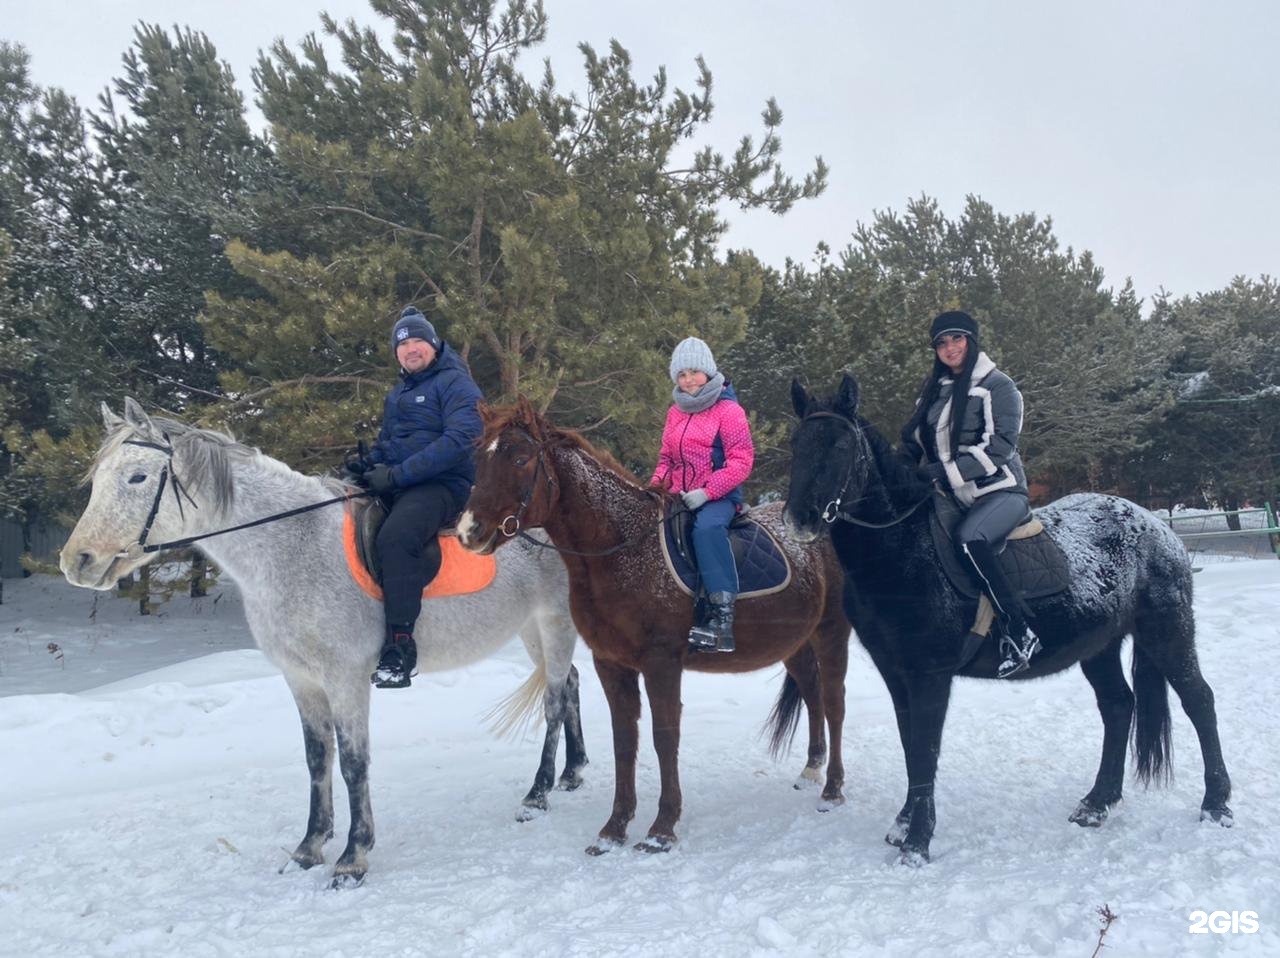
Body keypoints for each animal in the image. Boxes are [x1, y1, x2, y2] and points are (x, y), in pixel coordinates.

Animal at [56, 399, 586, 886]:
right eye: (98, 478)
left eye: (137, 478)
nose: (76, 560)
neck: (294, 546)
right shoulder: (301, 678)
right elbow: (317, 758)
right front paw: (309, 846)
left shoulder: (346, 678)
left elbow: (352, 761)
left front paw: (353, 856)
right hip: (530, 628)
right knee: (572, 685)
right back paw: (572, 772)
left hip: (555, 622)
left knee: (555, 700)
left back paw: (538, 793)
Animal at [455, 397, 855, 855]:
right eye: (479, 459)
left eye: (520, 458)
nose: (469, 531)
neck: (623, 550)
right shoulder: (611, 663)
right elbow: (624, 740)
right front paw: (614, 828)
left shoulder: (662, 662)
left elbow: (665, 737)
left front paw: (661, 828)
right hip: (795, 643)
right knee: (812, 693)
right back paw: (811, 768)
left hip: (831, 632)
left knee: (834, 702)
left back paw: (832, 789)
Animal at [778, 376, 1228, 865]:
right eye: (797, 443)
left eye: (841, 444)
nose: (799, 519)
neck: (904, 547)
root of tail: (1158, 528)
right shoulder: (897, 674)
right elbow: (911, 746)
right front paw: (903, 826)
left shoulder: (930, 674)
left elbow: (925, 749)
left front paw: (917, 843)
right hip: (1099, 646)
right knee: (1118, 706)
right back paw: (1098, 803)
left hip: (1167, 633)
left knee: (1199, 700)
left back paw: (1216, 804)